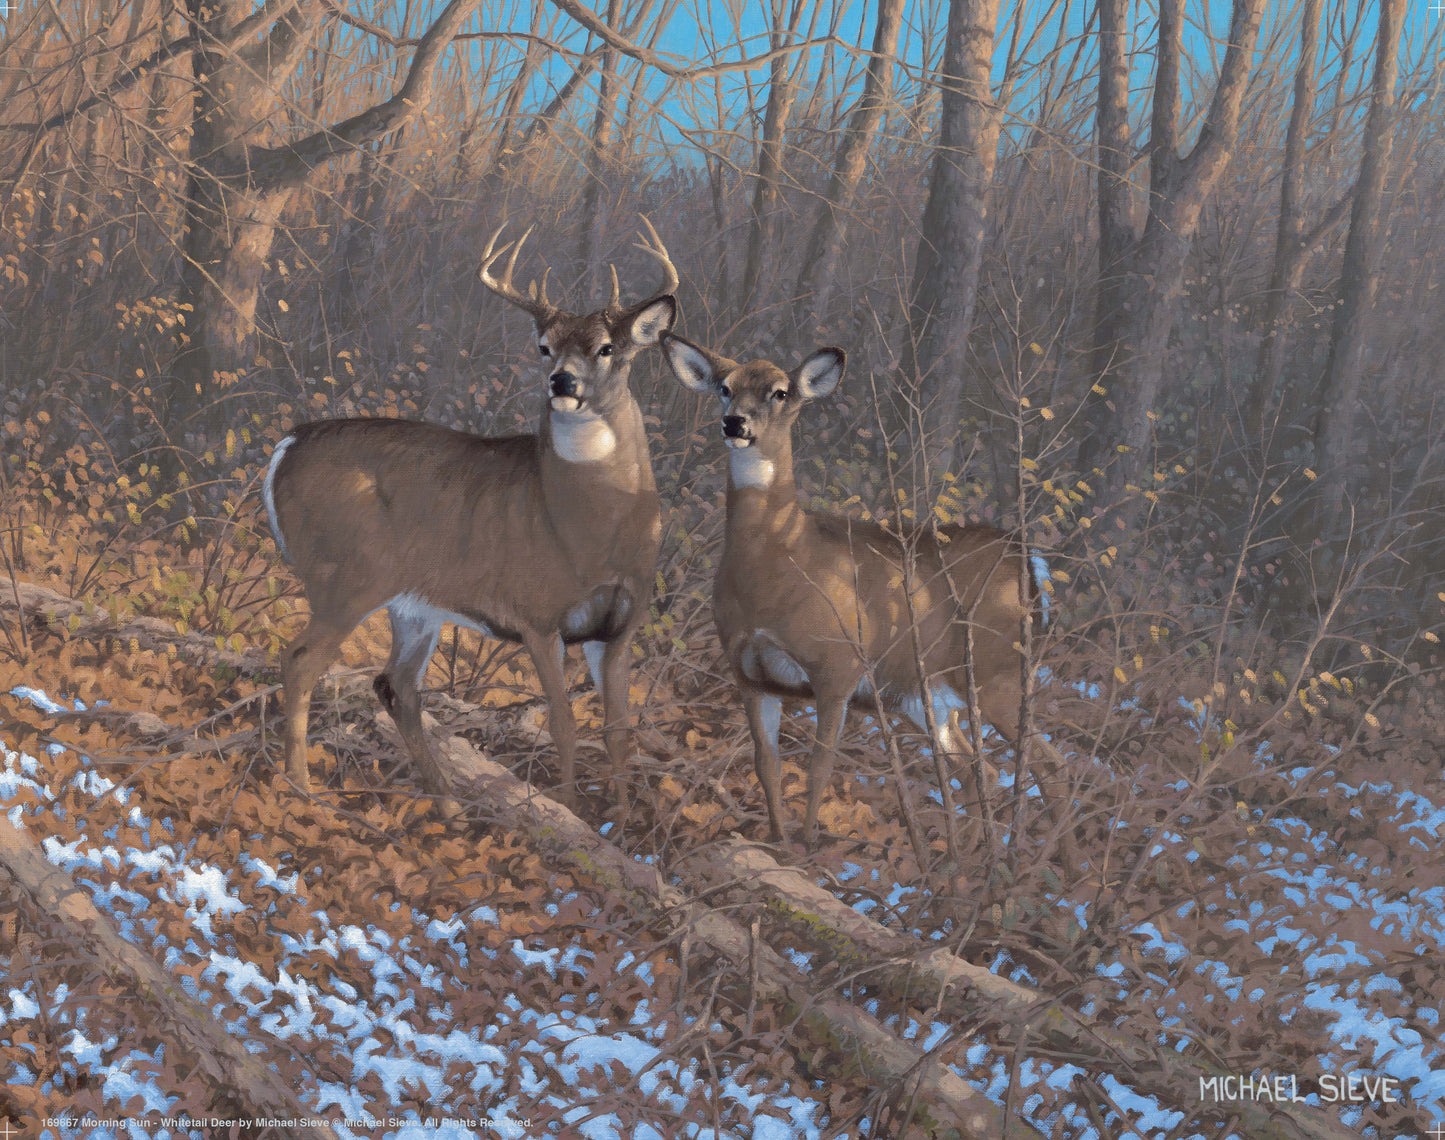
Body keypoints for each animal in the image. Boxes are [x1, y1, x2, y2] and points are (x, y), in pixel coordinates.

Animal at [263, 219, 679, 809]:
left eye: (606, 348)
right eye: (544, 346)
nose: (562, 382)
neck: (597, 531)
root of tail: (288, 445)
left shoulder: (618, 626)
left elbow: (618, 730)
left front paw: (617, 820)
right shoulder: (536, 613)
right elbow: (563, 722)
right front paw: (567, 811)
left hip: (414, 604)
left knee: (396, 685)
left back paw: (448, 801)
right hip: (346, 576)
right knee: (300, 661)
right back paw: (301, 786)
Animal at [661, 332, 1053, 846]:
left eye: (780, 392)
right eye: (725, 387)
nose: (735, 422)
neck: (781, 560)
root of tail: (1027, 561)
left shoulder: (838, 666)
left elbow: (819, 767)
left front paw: (807, 845)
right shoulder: (748, 675)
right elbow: (767, 765)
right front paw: (777, 841)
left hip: (996, 672)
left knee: (1048, 766)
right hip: (926, 697)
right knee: (978, 770)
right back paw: (963, 857)